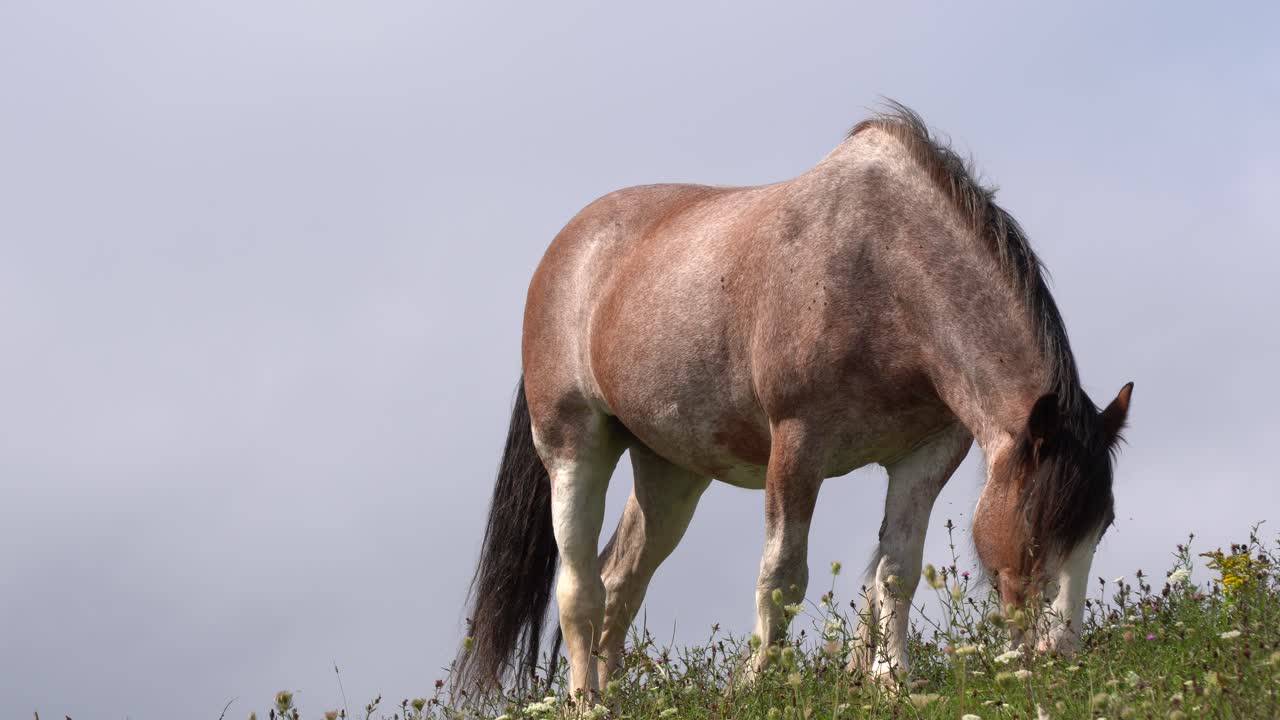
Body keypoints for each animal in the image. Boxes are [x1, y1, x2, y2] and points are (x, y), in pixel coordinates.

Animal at [454, 103, 1132, 698]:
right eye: (1038, 527)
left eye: (1102, 525)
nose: (1061, 658)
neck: (881, 270)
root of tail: (567, 251)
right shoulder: (799, 445)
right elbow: (782, 576)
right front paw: (757, 683)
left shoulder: (928, 452)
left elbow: (897, 568)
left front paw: (891, 679)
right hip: (574, 445)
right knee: (579, 587)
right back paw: (584, 700)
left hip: (670, 470)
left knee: (621, 579)